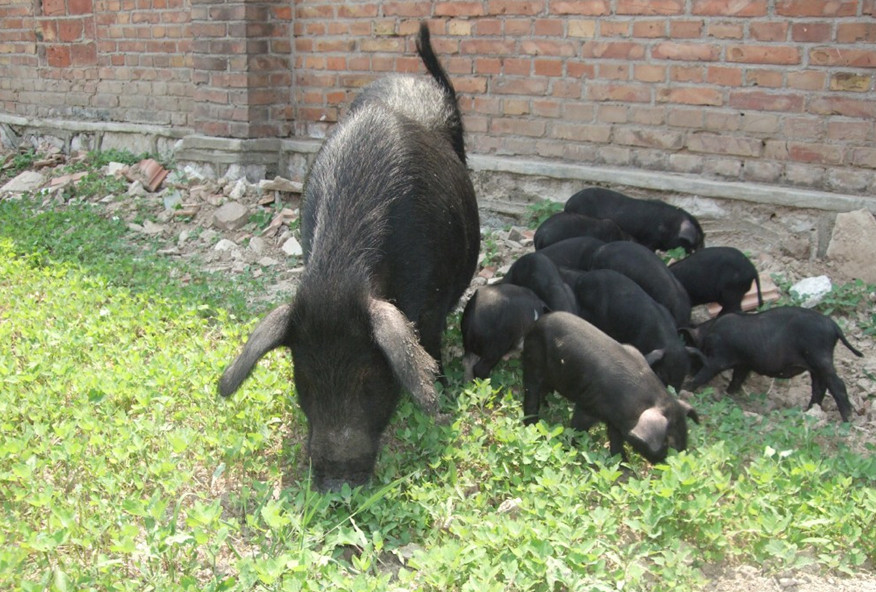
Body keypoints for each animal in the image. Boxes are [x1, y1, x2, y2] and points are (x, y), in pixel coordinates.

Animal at [219, 24, 480, 490]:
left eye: (369, 380)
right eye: (303, 381)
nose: (335, 484)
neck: (339, 274)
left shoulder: (431, 302)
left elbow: (429, 343)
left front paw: (439, 393)